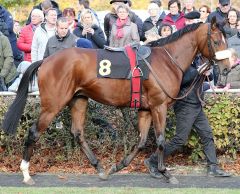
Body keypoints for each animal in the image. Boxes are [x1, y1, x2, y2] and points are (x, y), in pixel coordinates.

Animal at [1, 18, 231, 185]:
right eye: (216, 41)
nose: (228, 66)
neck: (166, 60)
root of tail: (46, 60)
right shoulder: (159, 106)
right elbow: (160, 140)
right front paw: (165, 172)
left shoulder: (145, 109)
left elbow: (141, 141)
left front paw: (117, 166)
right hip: (53, 104)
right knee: (34, 132)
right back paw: (26, 173)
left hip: (79, 99)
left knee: (78, 133)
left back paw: (99, 167)